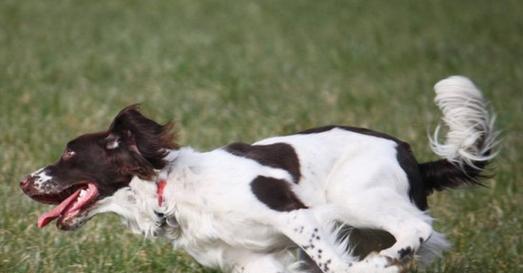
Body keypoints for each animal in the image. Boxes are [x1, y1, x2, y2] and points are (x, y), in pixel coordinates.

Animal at [20, 75, 500, 270]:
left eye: (69, 153)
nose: (24, 181)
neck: (172, 189)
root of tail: (412, 157)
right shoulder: (256, 262)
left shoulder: (296, 216)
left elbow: (335, 265)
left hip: (355, 198)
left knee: (415, 230)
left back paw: (382, 261)